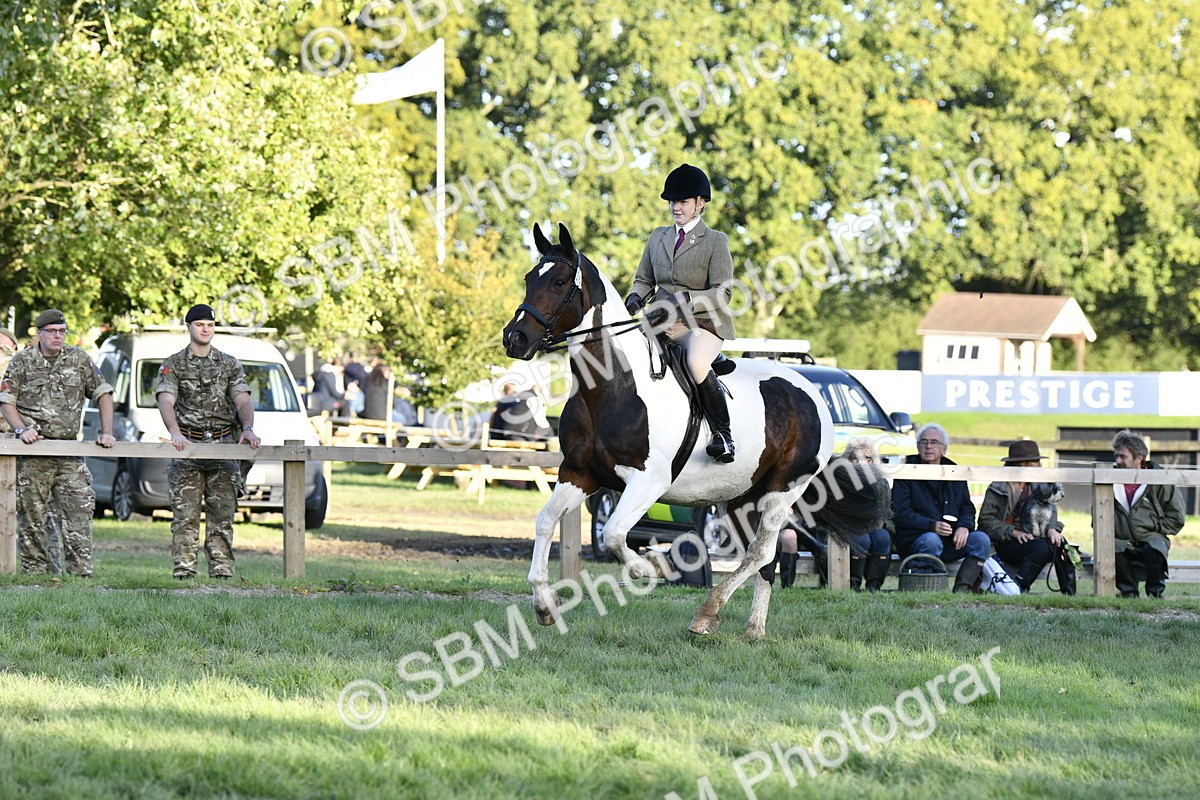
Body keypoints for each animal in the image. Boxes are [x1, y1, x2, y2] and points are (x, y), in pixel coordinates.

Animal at [502, 223, 886, 638]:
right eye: (529, 279)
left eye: (558, 282)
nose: (514, 339)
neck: (613, 385)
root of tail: (814, 394)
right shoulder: (579, 473)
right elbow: (545, 522)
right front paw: (545, 606)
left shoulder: (648, 480)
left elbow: (615, 532)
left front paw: (653, 566)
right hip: (741, 497)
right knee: (762, 560)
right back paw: (750, 628)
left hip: (783, 489)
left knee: (761, 552)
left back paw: (710, 612)